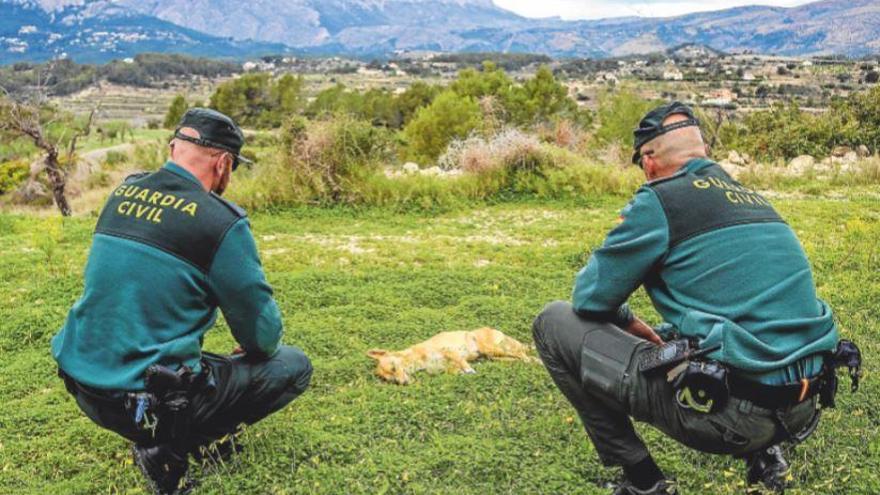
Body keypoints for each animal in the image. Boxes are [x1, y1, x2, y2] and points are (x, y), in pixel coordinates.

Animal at [366, 328, 532, 386]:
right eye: (391, 380)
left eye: (394, 368)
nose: (403, 383)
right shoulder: (448, 368)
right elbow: (455, 370)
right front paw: (464, 373)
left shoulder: (450, 351)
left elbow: (462, 362)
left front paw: (469, 370)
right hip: (496, 357)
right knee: (517, 357)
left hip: (492, 349)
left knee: (521, 353)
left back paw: (530, 359)